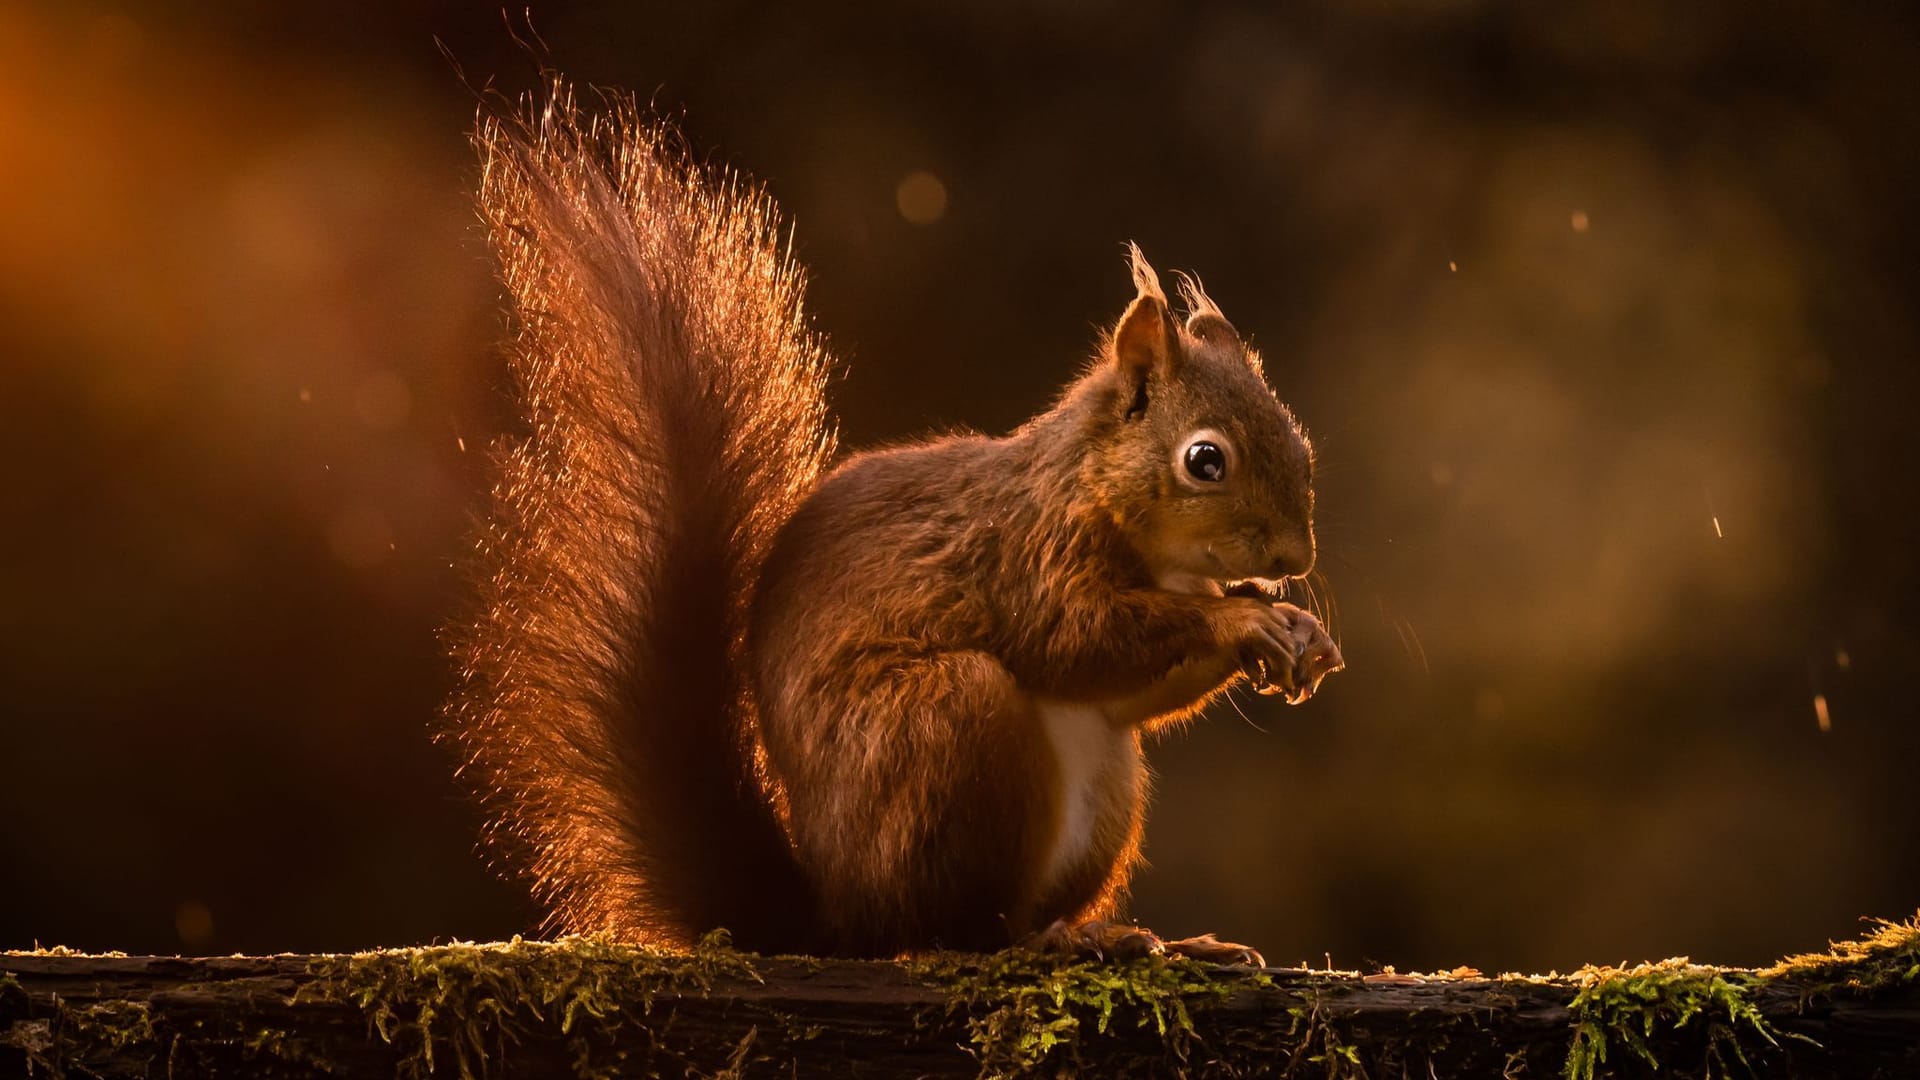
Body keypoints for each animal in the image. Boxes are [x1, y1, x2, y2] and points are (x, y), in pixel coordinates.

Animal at [451, 79, 1344, 960]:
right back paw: (1055, 944)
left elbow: (1131, 694)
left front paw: (1297, 630)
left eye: (1301, 440)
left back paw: (1147, 938)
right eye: (1205, 461)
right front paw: (1243, 622)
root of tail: (837, 917)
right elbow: (1075, 637)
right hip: (944, 726)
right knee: (955, 928)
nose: (1294, 558)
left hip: (1101, 787)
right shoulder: (1029, 552)